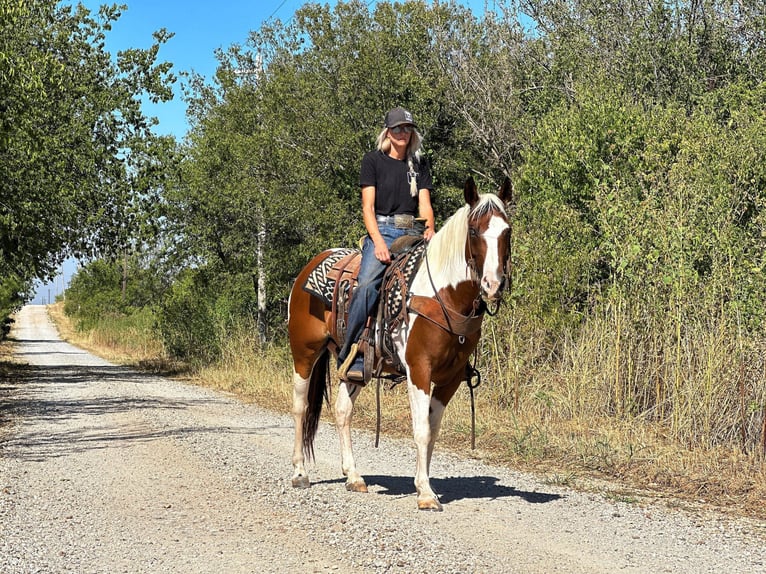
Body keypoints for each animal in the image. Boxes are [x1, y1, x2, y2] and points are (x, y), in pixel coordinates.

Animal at [286, 177, 510, 512]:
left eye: (507, 231)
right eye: (473, 231)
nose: (493, 285)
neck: (442, 295)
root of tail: (309, 266)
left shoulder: (450, 378)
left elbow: (433, 430)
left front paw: (426, 485)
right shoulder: (419, 370)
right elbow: (421, 430)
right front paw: (426, 493)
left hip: (354, 365)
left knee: (342, 410)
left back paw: (353, 476)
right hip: (304, 353)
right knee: (300, 407)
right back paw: (300, 473)